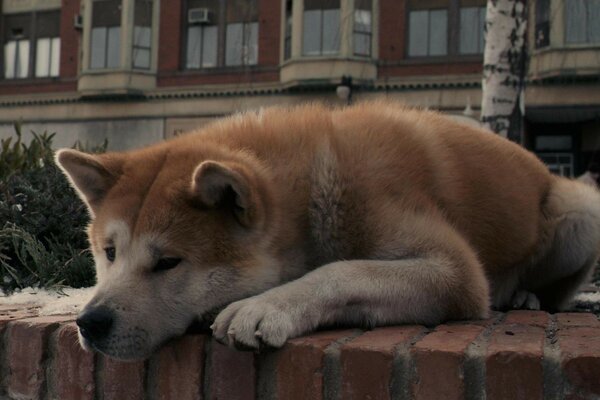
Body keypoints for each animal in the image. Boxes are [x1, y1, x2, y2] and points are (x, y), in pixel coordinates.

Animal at [56, 102, 600, 360]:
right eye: (109, 252)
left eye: (168, 261)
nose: (91, 322)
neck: (310, 191)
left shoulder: (456, 271)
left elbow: (341, 270)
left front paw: (266, 306)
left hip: (582, 211)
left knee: (557, 287)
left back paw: (525, 295)